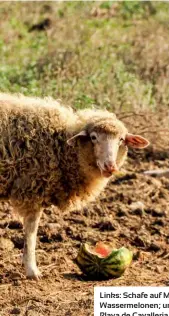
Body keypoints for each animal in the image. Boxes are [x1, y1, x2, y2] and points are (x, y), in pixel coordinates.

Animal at [0, 92, 149, 278]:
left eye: (121, 140)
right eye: (93, 137)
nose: (110, 166)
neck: (62, 143)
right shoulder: (31, 191)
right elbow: (31, 234)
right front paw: (32, 270)